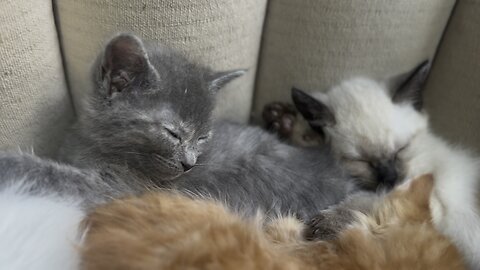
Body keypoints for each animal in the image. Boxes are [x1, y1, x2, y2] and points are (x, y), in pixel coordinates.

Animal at [292, 62, 480, 268]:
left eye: (401, 149)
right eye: (362, 161)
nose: (391, 178)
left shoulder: (430, 201)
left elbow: (373, 201)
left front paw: (326, 224)